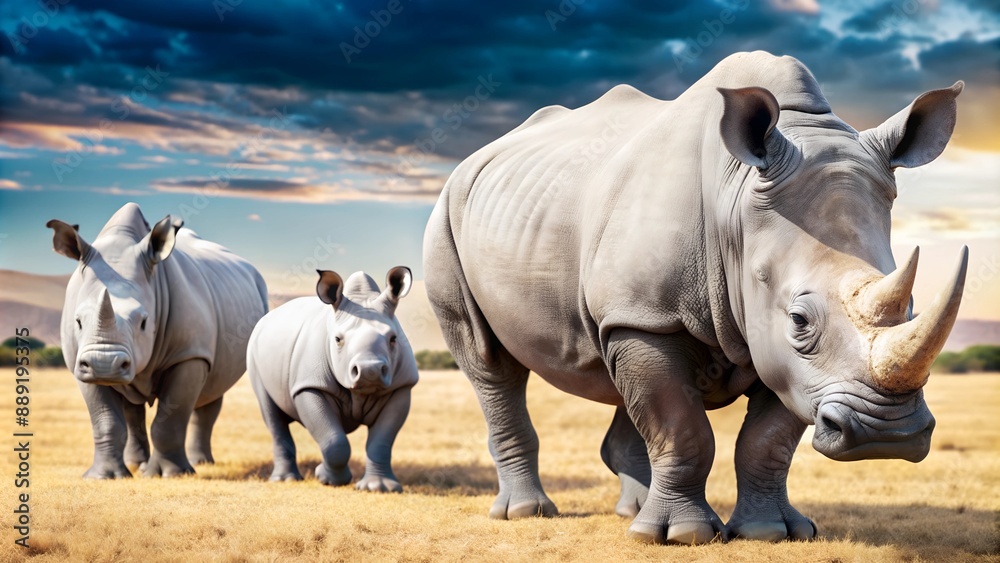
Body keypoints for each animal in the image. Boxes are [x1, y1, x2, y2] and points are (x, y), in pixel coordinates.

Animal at [48, 203, 268, 478]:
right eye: (77, 321)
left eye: (144, 322)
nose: (104, 364)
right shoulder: (80, 361)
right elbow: (105, 421)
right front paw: (104, 477)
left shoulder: (189, 354)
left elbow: (169, 419)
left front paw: (169, 474)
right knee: (133, 406)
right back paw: (135, 464)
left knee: (213, 389)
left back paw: (200, 464)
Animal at [247, 267, 418, 492]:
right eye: (337, 339)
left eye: (394, 339)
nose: (369, 371)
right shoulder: (309, 385)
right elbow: (334, 441)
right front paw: (327, 479)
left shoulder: (400, 387)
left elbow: (381, 442)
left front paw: (378, 488)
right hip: (253, 350)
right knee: (271, 414)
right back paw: (286, 480)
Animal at [423, 51, 967, 544]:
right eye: (799, 320)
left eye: (913, 309)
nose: (887, 434)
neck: (737, 204)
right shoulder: (649, 315)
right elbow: (681, 426)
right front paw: (682, 536)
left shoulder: (776, 356)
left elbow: (765, 439)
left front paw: (771, 533)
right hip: (448, 216)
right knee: (490, 364)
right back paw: (527, 513)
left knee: (616, 371)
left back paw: (632, 512)